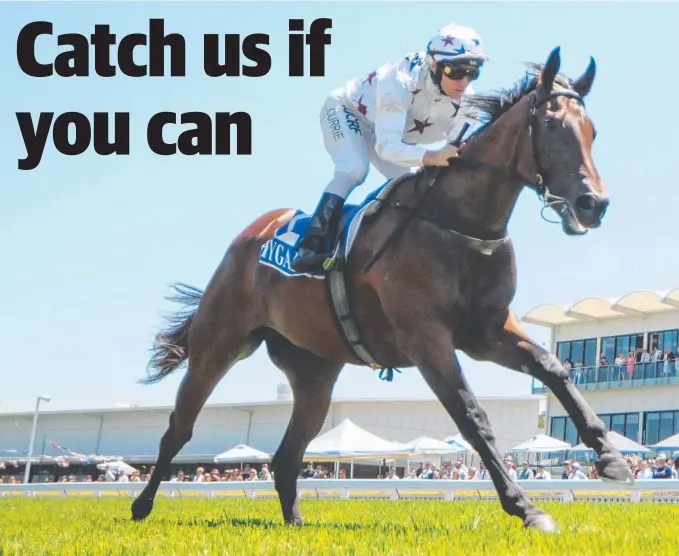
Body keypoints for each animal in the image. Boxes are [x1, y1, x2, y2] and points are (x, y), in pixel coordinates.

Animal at [131, 48, 632, 536]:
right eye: (550, 125)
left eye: (592, 131)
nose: (594, 204)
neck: (459, 223)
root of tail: (250, 237)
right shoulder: (427, 337)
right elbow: (473, 417)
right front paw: (526, 507)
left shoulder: (486, 332)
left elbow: (555, 369)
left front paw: (611, 457)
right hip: (219, 344)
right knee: (179, 428)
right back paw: (141, 504)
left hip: (314, 371)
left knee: (286, 456)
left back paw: (296, 523)